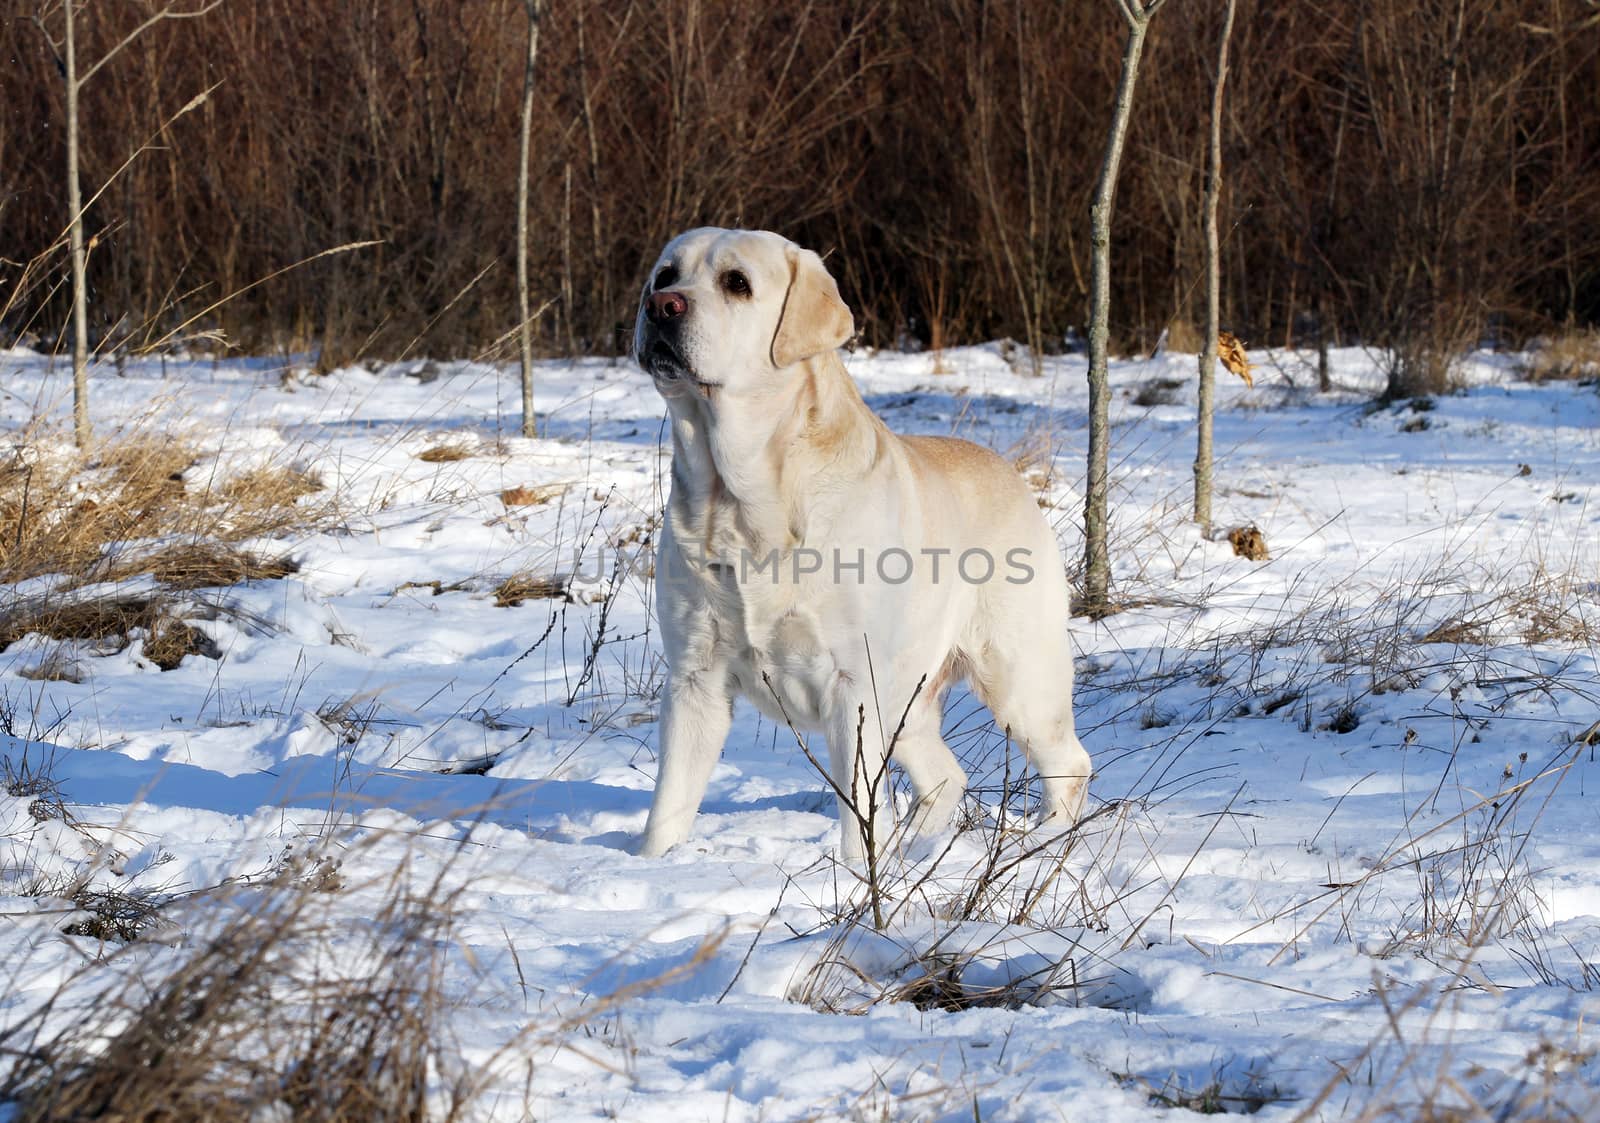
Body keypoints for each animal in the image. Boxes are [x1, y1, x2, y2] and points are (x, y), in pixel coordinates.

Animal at [636, 228, 1088, 863]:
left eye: (737, 283)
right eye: (665, 276)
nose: (662, 307)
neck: (739, 499)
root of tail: (1009, 471)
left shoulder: (853, 684)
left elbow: (858, 811)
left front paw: (855, 880)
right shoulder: (694, 678)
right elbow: (668, 810)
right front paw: (655, 867)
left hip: (1019, 677)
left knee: (1069, 764)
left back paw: (1045, 844)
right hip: (910, 699)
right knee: (947, 776)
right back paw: (918, 847)